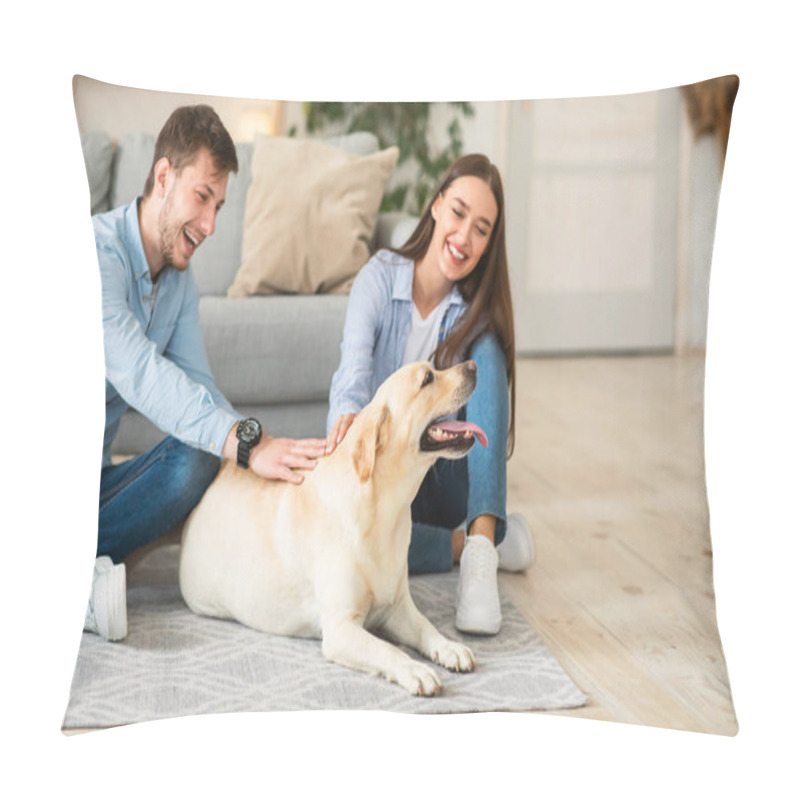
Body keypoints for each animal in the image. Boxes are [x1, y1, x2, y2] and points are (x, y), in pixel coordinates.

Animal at [179, 360, 488, 696]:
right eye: (428, 378)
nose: (472, 364)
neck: (384, 513)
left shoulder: (397, 607)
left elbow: (425, 626)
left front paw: (449, 647)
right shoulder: (341, 629)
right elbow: (387, 650)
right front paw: (415, 669)